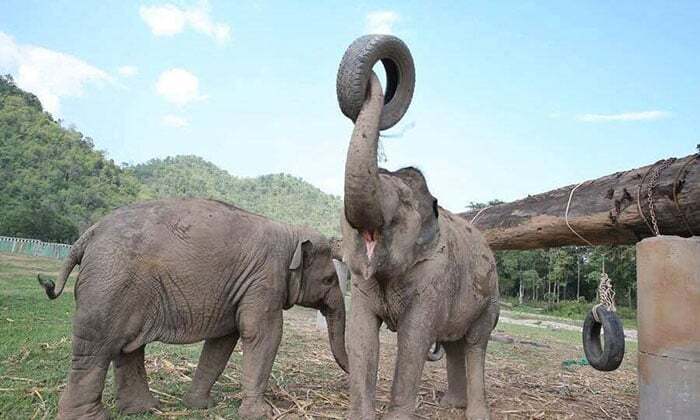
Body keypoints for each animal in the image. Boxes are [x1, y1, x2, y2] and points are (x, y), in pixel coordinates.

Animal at [37, 198, 348, 420]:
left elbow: (223, 340)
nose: (347, 377)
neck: (291, 232)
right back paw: (90, 416)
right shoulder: (265, 279)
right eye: (329, 280)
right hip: (109, 283)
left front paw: (199, 405)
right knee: (97, 348)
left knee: (126, 347)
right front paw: (261, 414)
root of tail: (88, 234)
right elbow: (263, 334)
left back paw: (144, 409)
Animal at [338, 35, 498, 420]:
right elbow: (361, 333)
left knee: (475, 344)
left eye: (398, 214)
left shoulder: (434, 276)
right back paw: (450, 405)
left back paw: (473, 412)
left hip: (490, 298)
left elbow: (414, 336)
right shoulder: (361, 282)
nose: (376, 81)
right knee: (454, 344)